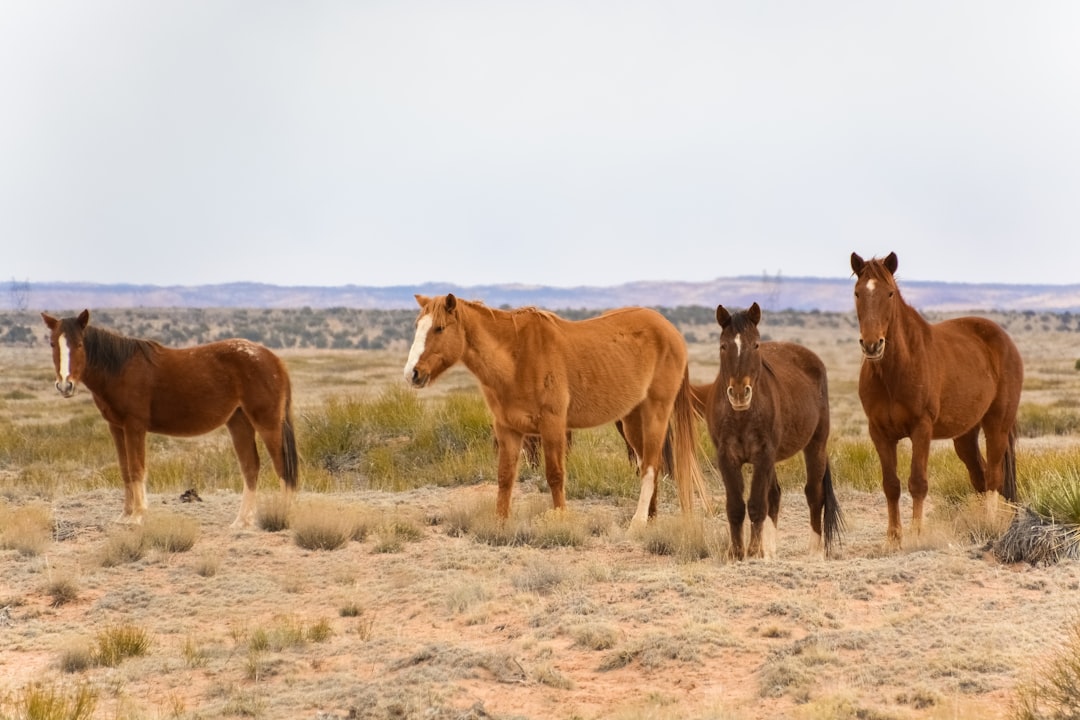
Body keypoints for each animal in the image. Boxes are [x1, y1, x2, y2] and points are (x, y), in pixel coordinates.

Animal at [43, 310, 300, 528]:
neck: (120, 369)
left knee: (282, 465)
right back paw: (242, 521)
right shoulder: (116, 427)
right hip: (239, 423)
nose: (65, 385)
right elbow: (125, 470)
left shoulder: (134, 426)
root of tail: (273, 359)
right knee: (250, 467)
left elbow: (137, 468)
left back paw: (283, 517)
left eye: (79, 344)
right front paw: (125, 515)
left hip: (267, 423)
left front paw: (138, 516)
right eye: (53, 344)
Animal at [406, 295, 708, 526]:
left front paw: (561, 518)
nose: (412, 374)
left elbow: (554, 475)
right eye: (417, 326)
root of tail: (672, 332)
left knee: (651, 465)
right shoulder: (508, 428)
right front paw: (500, 523)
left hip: (656, 412)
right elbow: (505, 477)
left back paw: (638, 522)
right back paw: (652, 518)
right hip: (632, 419)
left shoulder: (552, 425)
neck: (516, 358)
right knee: (648, 463)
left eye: (440, 328)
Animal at [699, 302, 842, 561]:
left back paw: (814, 551)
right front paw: (737, 552)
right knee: (775, 495)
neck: (742, 415)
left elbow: (757, 504)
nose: (739, 393)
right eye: (723, 346)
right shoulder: (727, 457)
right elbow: (736, 506)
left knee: (814, 494)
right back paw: (771, 550)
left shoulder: (763, 455)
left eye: (756, 344)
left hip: (815, 445)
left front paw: (754, 551)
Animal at [851, 253, 1019, 546]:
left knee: (994, 477)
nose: (872, 345)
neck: (895, 371)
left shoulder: (922, 428)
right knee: (979, 475)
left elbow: (918, 482)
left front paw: (917, 533)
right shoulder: (879, 432)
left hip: (997, 425)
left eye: (890, 293)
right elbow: (891, 484)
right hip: (965, 435)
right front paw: (893, 538)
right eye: (858, 293)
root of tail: (1004, 339)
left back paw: (988, 522)